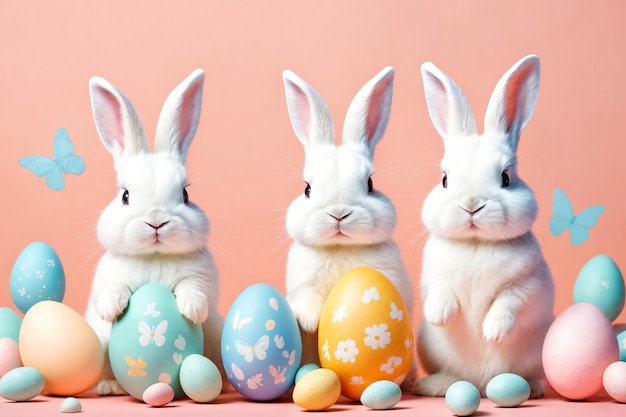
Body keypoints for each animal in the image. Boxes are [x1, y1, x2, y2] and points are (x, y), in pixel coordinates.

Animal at [84, 69, 223, 396]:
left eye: (185, 195)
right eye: (125, 196)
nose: (156, 221)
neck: (154, 257)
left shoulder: (204, 279)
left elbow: (194, 288)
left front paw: (192, 309)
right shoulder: (107, 279)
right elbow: (112, 289)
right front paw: (112, 307)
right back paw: (109, 387)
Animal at [280, 67, 412, 384]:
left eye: (370, 184)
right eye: (307, 189)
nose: (339, 214)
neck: (340, 247)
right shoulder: (303, 283)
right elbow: (307, 299)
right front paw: (310, 321)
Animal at [412, 54, 552, 396]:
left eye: (506, 178)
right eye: (444, 179)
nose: (472, 205)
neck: (476, 244)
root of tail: (480, 384)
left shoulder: (529, 284)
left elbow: (509, 301)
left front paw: (492, 331)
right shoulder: (433, 277)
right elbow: (440, 290)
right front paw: (439, 316)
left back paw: (531, 388)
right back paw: (431, 385)